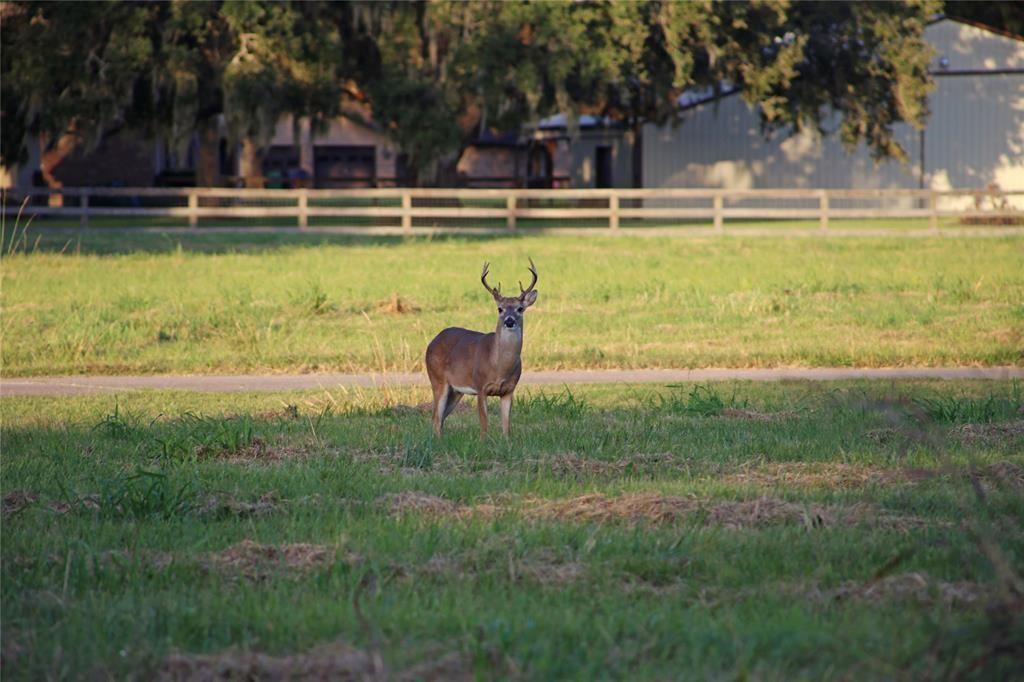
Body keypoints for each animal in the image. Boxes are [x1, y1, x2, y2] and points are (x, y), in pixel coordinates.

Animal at [423, 254, 540, 436]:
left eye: (520, 308)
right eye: (500, 309)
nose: (509, 321)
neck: (498, 366)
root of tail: (432, 341)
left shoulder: (509, 390)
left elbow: (506, 427)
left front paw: (506, 441)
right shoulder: (480, 386)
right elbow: (484, 425)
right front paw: (484, 442)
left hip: (456, 390)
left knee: (440, 419)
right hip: (437, 379)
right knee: (436, 417)